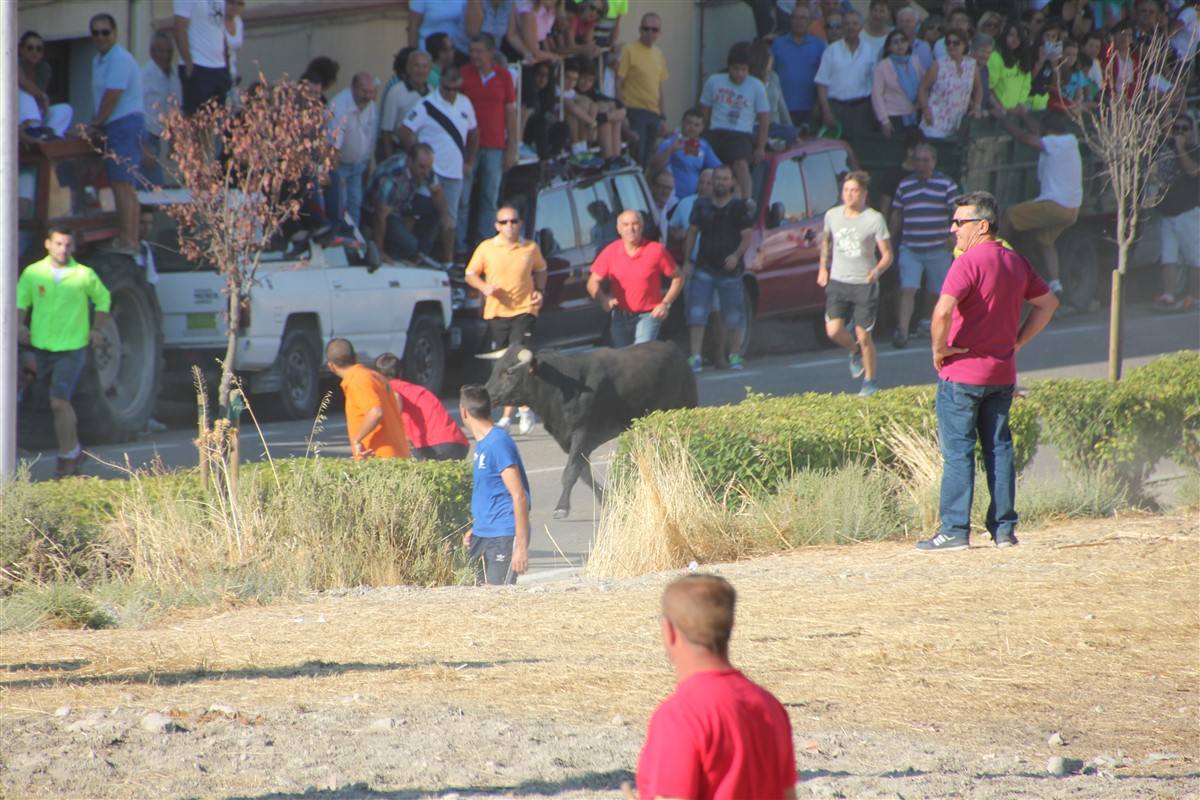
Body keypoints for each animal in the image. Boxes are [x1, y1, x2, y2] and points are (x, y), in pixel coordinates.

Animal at [482, 343, 700, 520]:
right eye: (496, 368)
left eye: (509, 372)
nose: (486, 393)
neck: (561, 385)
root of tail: (673, 348)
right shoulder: (574, 439)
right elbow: (583, 472)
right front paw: (609, 499)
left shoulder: (582, 432)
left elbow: (571, 471)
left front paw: (561, 508)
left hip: (687, 404)